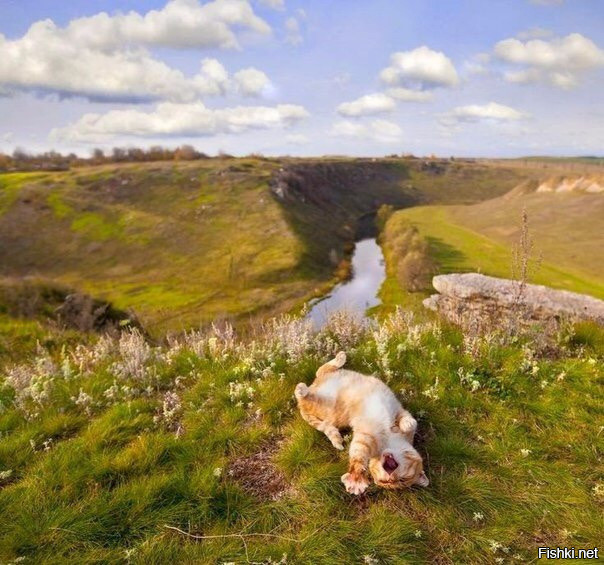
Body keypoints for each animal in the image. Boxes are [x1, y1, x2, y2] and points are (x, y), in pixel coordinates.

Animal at [294, 352, 428, 494]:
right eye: (403, 479)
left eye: (399, 481)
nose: (391, 479)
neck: (389, 439)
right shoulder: (393, 413)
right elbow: (410, 420)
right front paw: (356, 480)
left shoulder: (368, 435)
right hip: (325, 400)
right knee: (315, 377)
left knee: (318, 377)